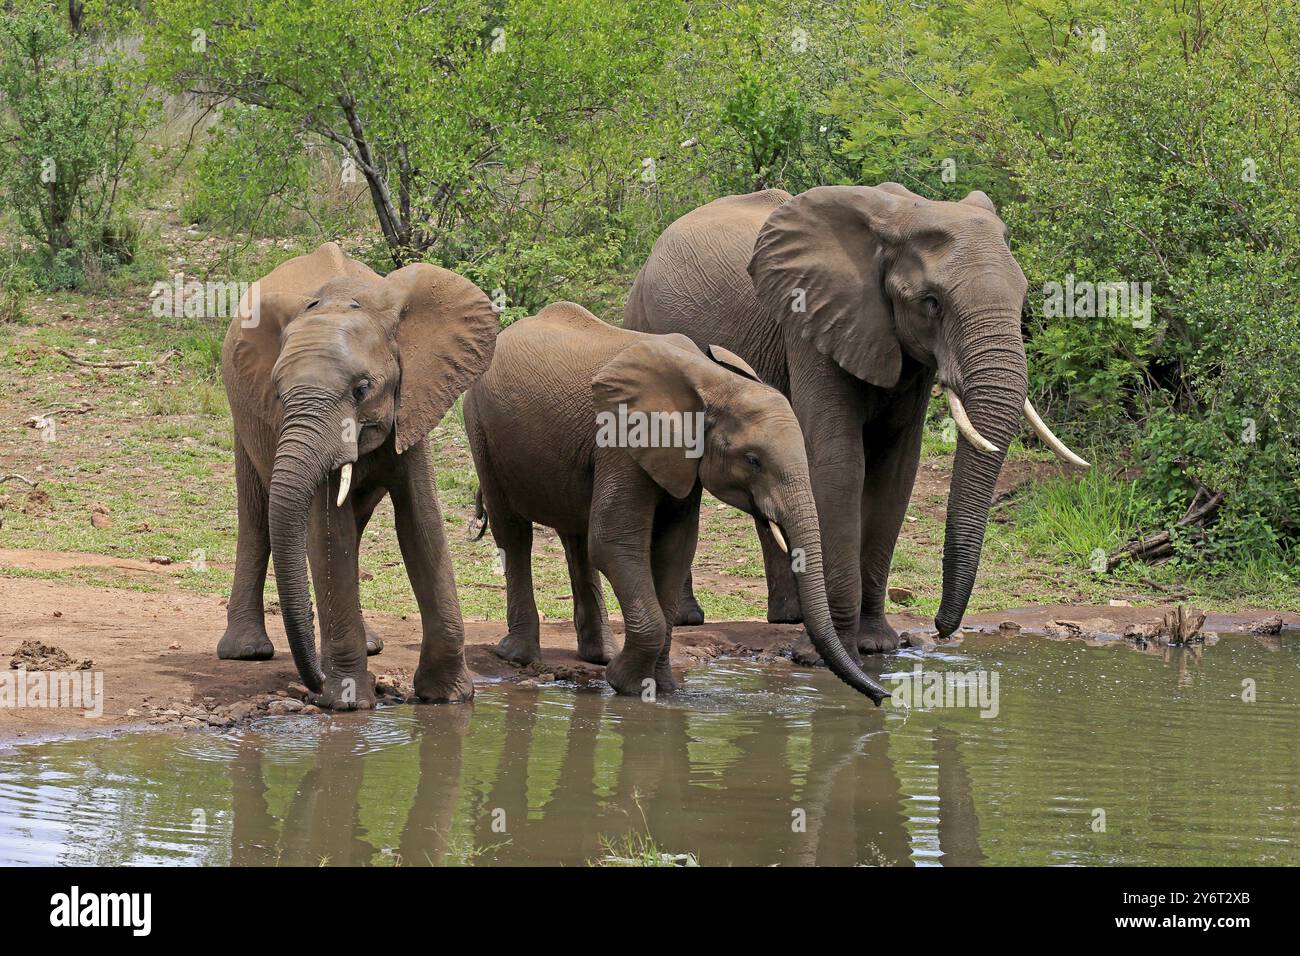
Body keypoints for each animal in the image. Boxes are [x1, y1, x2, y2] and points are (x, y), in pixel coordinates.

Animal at [218, 244, 496, 712]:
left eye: (362, 389)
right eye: (279, 393)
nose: (312, 683)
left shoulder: (414, 398)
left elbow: (421, 524)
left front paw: (449, 698)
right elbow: (330, 533)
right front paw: (349, 703)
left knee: (358, 519)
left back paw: (368, 646)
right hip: (244, 417)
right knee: (256, 516)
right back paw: (245, 651)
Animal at [462, 303, 889, 707]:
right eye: (753, 460)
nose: (882, 697)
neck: (715, 383)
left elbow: (674, 548)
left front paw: (662, 690)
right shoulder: (623, 441)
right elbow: (615, 543)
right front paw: (626, 684)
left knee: (576, 538)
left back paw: (600, 655)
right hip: (480, 425)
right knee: (514, 532)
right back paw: (517, 656)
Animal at [626, 184, 1086, 655]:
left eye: (1024, 297)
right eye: (932, 304)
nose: (941, 627)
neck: (900, 218)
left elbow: (895, 472)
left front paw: (877, 645)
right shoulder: (813, 324)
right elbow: (839, 463)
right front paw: (831, 651)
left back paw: (789, 616)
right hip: (644, 322)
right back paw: (690, 619)